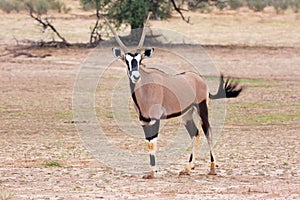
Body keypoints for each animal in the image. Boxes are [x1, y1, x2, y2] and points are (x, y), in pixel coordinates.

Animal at [102, 14, 243, 180]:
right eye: (126, 61)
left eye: (140, 59)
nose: (136, 76)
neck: (145, 89)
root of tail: (199, 78)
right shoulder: (144, 121)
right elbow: (148, 142)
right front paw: (152, 171)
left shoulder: (155, 118)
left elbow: (153, 141)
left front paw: (152, 172)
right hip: (187, 114)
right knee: (195, 133)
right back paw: (188, 168)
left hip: (202, 108)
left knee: (208, 131)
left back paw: (212, 168)